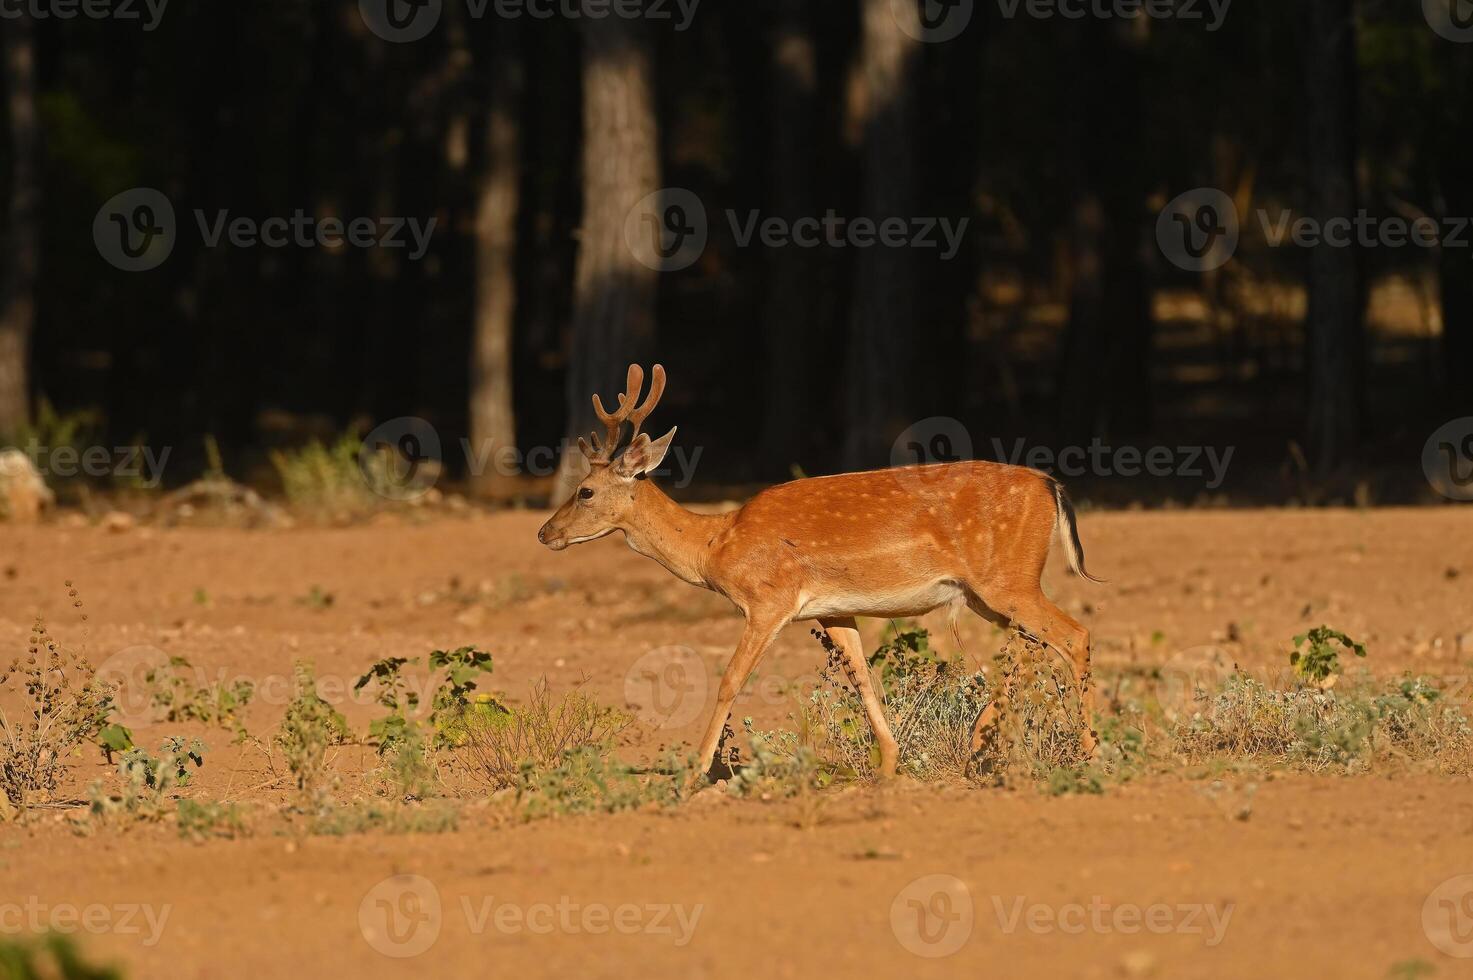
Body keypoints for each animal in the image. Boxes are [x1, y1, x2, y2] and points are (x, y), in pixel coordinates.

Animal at [536, 362, 1101, 784]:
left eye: (585, 491)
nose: (544, 533)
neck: (716, 544)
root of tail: (1051, 485)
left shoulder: (769, 600)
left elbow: (730, 680)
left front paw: (694, 772)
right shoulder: (834, 611)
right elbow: (863, 679)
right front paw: (890, 765)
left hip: (1007, 579)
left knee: (1073, 634)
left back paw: (1089, 752)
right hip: (989, 591)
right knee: (1031, 644)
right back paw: (980, 747)